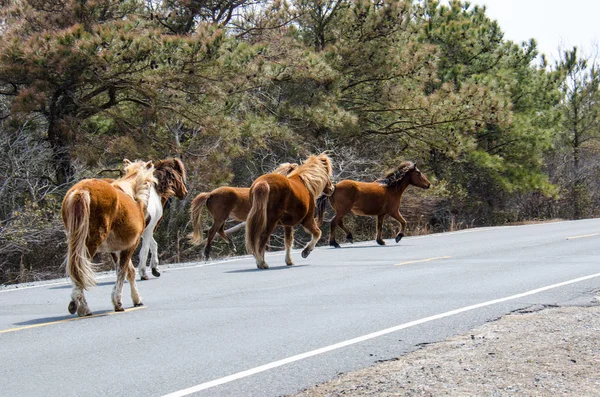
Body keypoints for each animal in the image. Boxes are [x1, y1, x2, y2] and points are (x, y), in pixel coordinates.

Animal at [60, 158, 155, 316]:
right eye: (150, 183)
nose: (148, 217)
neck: (131, 193)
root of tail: (82, 190)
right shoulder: (131, 245)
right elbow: (122, 272)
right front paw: (118, 302)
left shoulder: (115, 249)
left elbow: (128, 272)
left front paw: (136, 299)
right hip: (91, 241)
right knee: (79, 268)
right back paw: (81, 307)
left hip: (75, 240)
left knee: (75, 267)